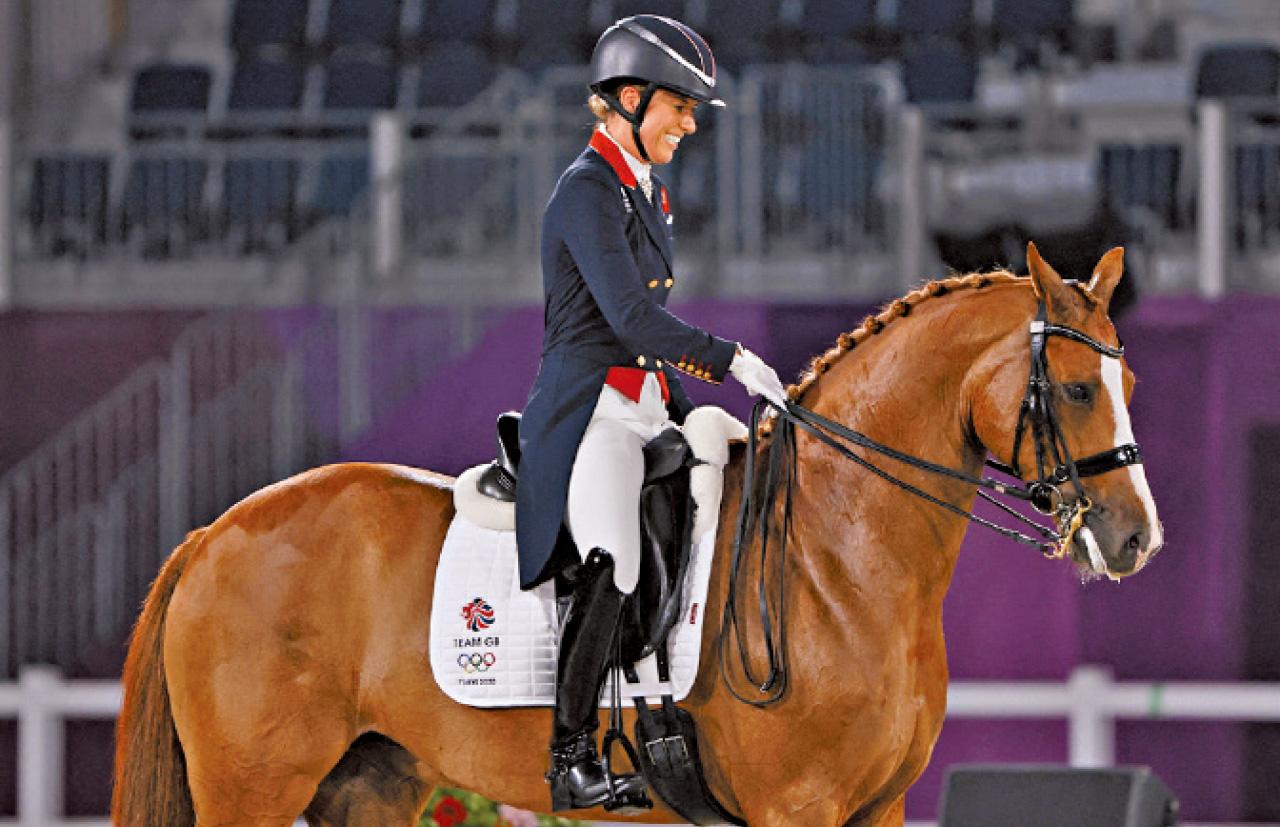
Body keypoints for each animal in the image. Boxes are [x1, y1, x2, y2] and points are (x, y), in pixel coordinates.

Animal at [112, 244, 1162, 827]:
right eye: (1076, 388)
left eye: (1129, 384)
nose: (1135, 540)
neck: (840, 556)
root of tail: (212, 531)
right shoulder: (800, 808)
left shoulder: (879, 808)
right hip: (250, 790)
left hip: (367, 785)